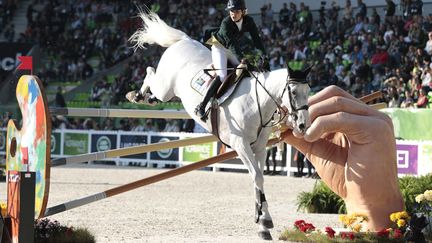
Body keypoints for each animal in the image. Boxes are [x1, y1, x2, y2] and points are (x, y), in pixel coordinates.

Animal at [125, 10, 310, 239]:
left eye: (308, 91)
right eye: (293, 92)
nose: (302, 125)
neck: (257, 101)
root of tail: (184, 40)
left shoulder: (259, 147)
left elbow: (258, 178)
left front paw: (262, 222)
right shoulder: (240, 144)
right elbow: (257, 177)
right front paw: (264, 221)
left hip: (167, 91)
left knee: (153, 82)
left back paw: (146, 98)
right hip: (166, 87)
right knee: (151, 72)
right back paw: (136, 95)